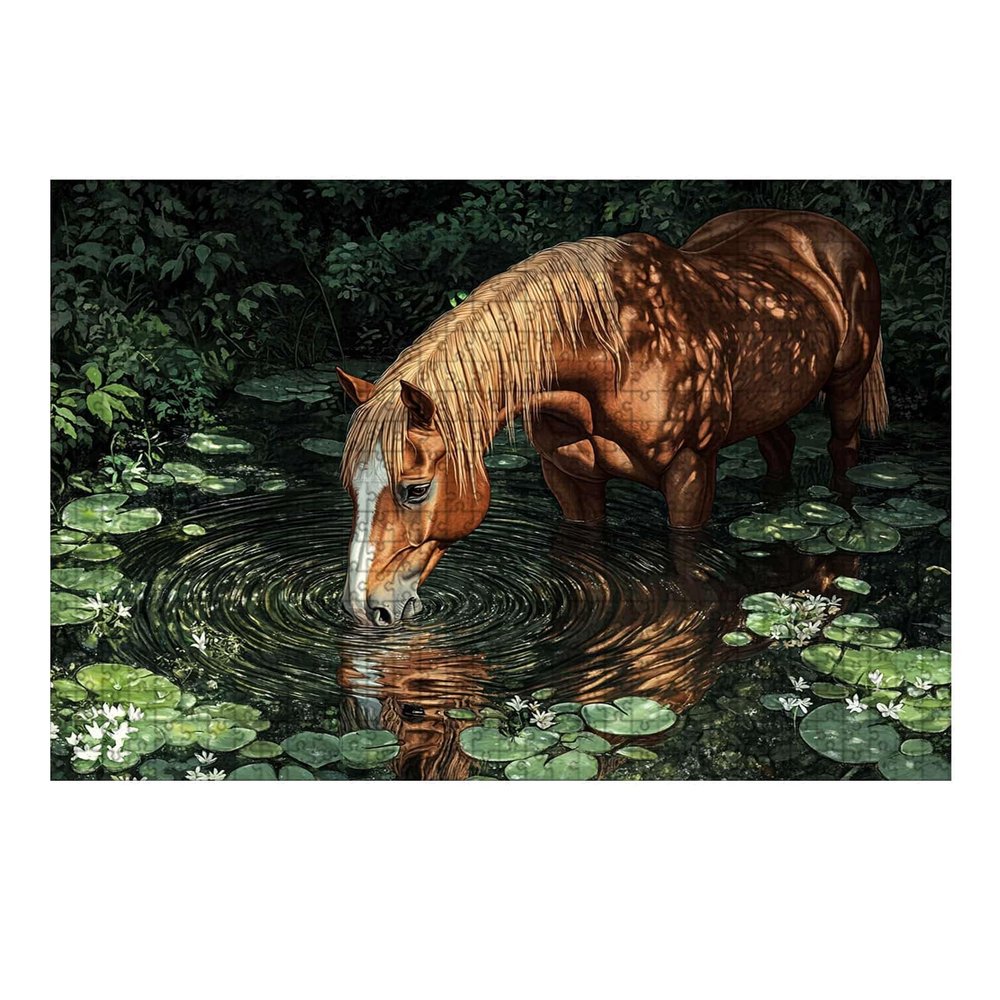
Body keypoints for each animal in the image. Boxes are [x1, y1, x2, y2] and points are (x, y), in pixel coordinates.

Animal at [336, 209, 885, 626]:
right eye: (351, 489)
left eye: (415, 490)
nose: (364, 608)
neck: (616, 354)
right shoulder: (570, 480)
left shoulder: (690, 475)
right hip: (773, 404)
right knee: (780, 451)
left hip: (846, 387)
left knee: (843, 452)